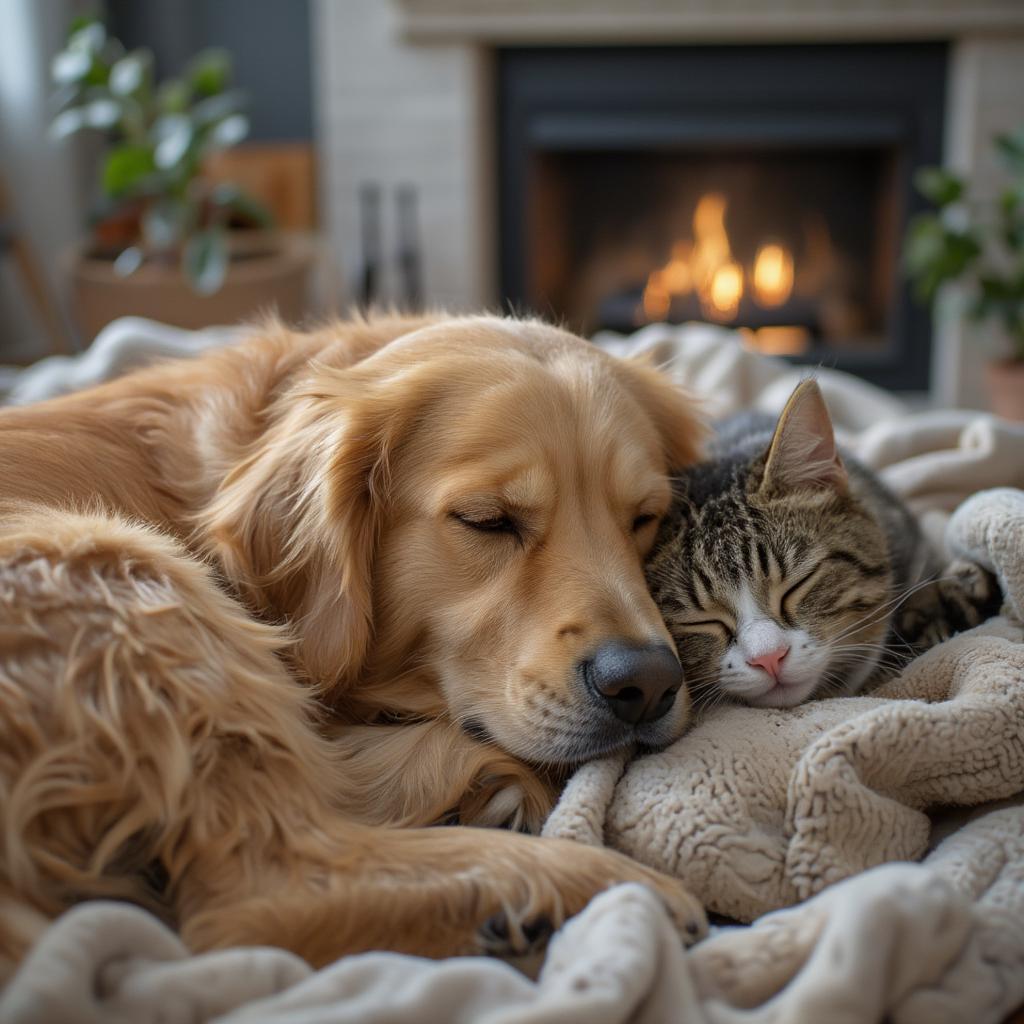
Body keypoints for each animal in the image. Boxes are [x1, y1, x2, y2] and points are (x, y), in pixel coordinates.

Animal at [0, 313, 704, 974]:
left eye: (644, 517)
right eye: (487, 520)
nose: (646, 683)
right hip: (112, 562)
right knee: (272, 891)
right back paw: (597, 889)